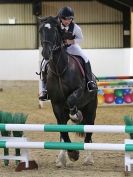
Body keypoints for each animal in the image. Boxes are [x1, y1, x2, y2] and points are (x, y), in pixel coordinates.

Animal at [38, 15, 97, 167]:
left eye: (54, 31)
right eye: (40, 31)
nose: (46, 53)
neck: (60, 69)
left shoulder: (79, 91)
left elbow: (71, 100)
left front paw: (76, 116)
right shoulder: (57, 104)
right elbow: (62, 131)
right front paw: (72, 154)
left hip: (91, 109)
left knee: (88, 132)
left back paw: (89, 159)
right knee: (63, 132)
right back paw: (61, 158)